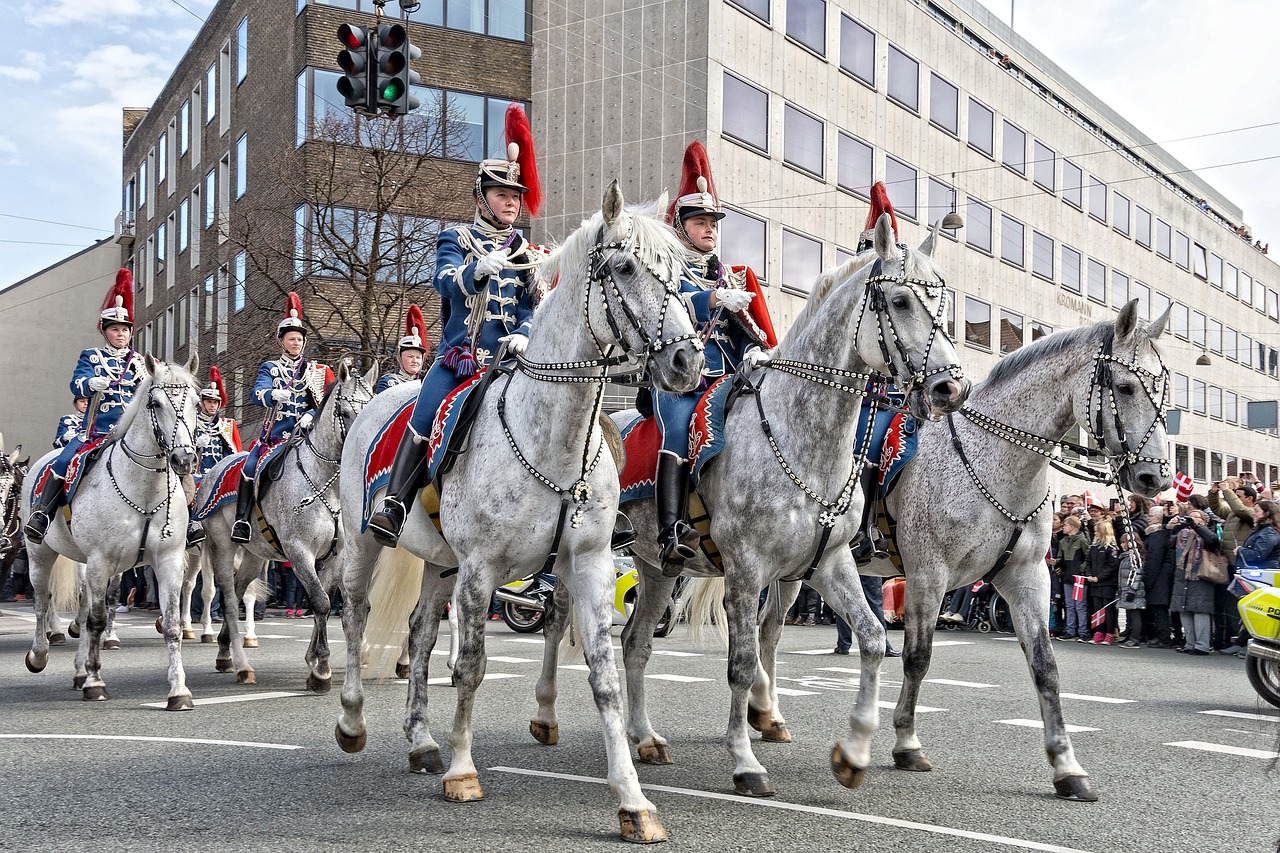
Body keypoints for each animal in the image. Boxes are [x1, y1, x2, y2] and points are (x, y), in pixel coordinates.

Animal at [20, 350, 200, 701]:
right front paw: (95, 682)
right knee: (42, 600)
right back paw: (40, 654)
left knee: (82, 604)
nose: (184, 460)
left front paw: (179, 690)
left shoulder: (168, 560)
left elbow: (171, 623)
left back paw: (78, 669)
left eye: (197, 403)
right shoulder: (101, 561)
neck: (144, 491)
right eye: (155, 402)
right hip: (40, 554)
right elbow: (97, 620)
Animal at [192, 356, 373, 686]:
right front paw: (321, 668)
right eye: (343, 412)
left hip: (254, 556)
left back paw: (224, 650)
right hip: (222, 547)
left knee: (239, 590)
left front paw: (314, 659)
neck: (326, 484)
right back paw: (239, 662)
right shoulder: (298, 551)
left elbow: (324, 600)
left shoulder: (336, 556)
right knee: (227, 598)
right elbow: (321, 601)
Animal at [335, 183, 706, 840]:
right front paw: (463, 772)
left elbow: (606, 678)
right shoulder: (481, 570)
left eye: (680, 275)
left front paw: (633, 800)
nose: (688, 364)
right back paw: (354, 722)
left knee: (421, 634)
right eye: (625, 268)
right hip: (367, 541)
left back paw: (421, 741)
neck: (551, 437)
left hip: (441, 565)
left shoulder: (589, 564)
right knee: (355, 614)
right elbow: (472, 666)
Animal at [535, 213, 962, 799]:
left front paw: (853, 752)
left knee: (635, 643)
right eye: (899, 301)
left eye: (942, 299)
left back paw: (644, 737)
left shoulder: (827, 563)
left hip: (656, 567)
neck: (800, 439)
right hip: (573, 557)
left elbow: (874, 640)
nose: (951, 388)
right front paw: (744, 762)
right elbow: (741, 663)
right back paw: (546, 717)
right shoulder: (745, 568)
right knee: (556, 621)